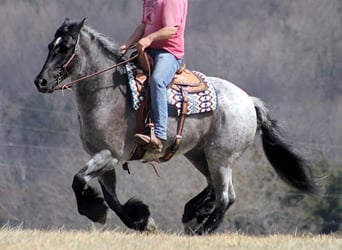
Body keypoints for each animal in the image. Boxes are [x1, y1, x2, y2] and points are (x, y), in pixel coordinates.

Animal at [32, 19, 320, 234]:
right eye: (49, 45)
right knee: (214, 188)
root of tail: (249, 101)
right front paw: (141, 221)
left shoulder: (110, 155)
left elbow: (78, 180)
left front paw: (98, 211)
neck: (108, 93)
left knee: (226, 197)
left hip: (221, 157)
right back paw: (194, 212)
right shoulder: (103, 159)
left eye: (66, 47)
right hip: (200, 154)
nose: (41, 81)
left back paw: (203, 228)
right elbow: (111, 199)